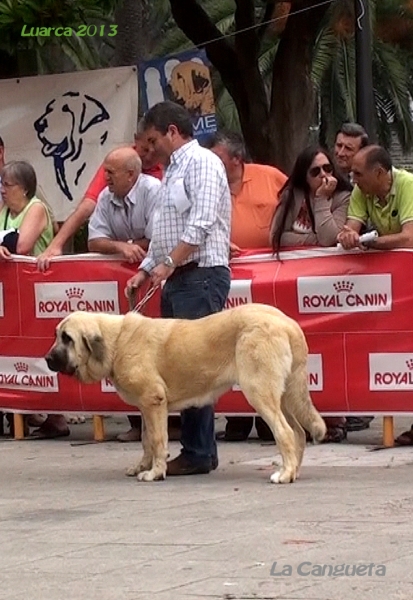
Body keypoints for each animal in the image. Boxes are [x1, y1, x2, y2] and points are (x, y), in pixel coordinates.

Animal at [44, 304, 322, 482]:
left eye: (67, 338)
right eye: (57, 335)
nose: (46, 359)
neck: (117, 341)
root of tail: (288, 323)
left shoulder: (154, 401)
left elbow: (158, 440)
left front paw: (155, 473)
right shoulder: (146, 407)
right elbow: (146, 440)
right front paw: (142, 466)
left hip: (259, 391)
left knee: (285, 432)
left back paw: (284, 474)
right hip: (283, 395)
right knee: (298, 432)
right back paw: (294, 471)